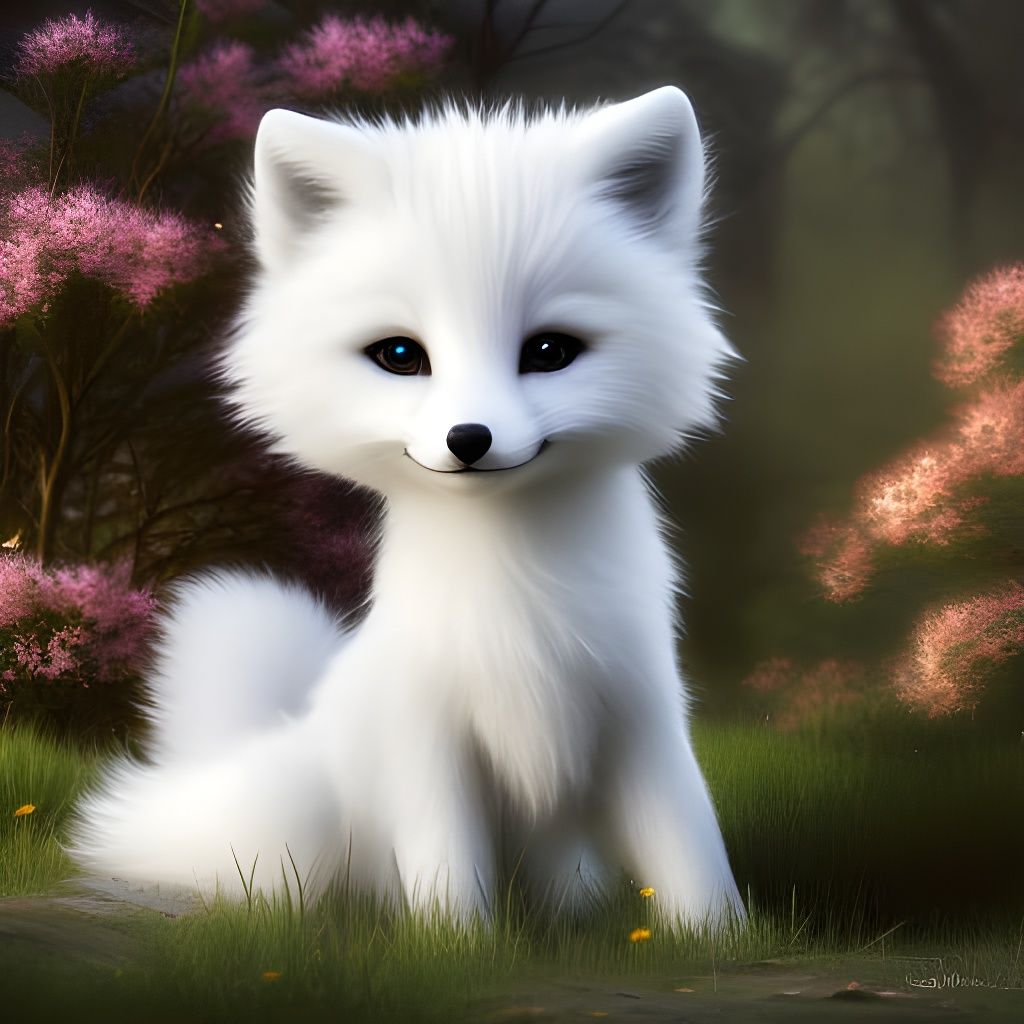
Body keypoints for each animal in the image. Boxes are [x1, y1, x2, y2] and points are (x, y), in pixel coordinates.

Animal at [70, 86, 745, 929]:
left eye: (550, 351)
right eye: (399, 356)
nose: (469, 438)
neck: (513, 585)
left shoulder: (645, 714)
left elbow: (689, 844)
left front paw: (716, 938)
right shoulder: (428, 739)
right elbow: (448, 867)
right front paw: (457, 942)